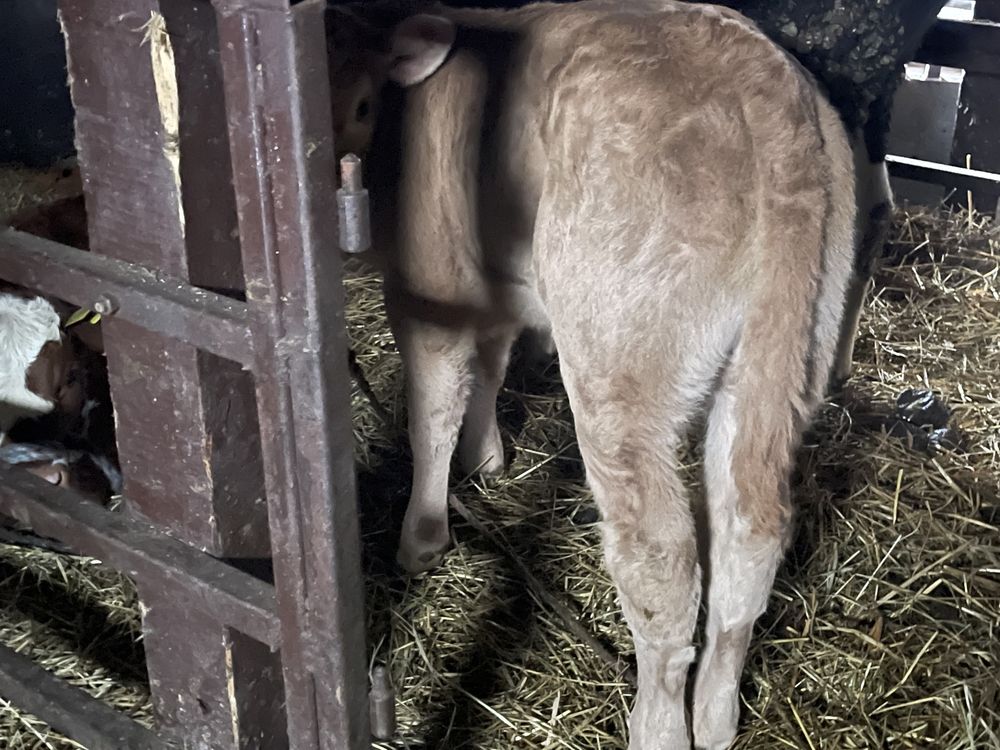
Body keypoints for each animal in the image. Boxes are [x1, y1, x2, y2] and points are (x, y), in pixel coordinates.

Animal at [326, 2, 852, 748]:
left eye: (365, 103)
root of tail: (762, 84)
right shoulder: (499, 287)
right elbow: (489, 367)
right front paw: (488, 458)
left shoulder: (431, 290)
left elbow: (435, 408)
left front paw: (422, 534)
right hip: (784, 362)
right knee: (750, 534)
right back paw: (716, 716)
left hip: (620, 372)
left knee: (661, 560)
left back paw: (659, 727)